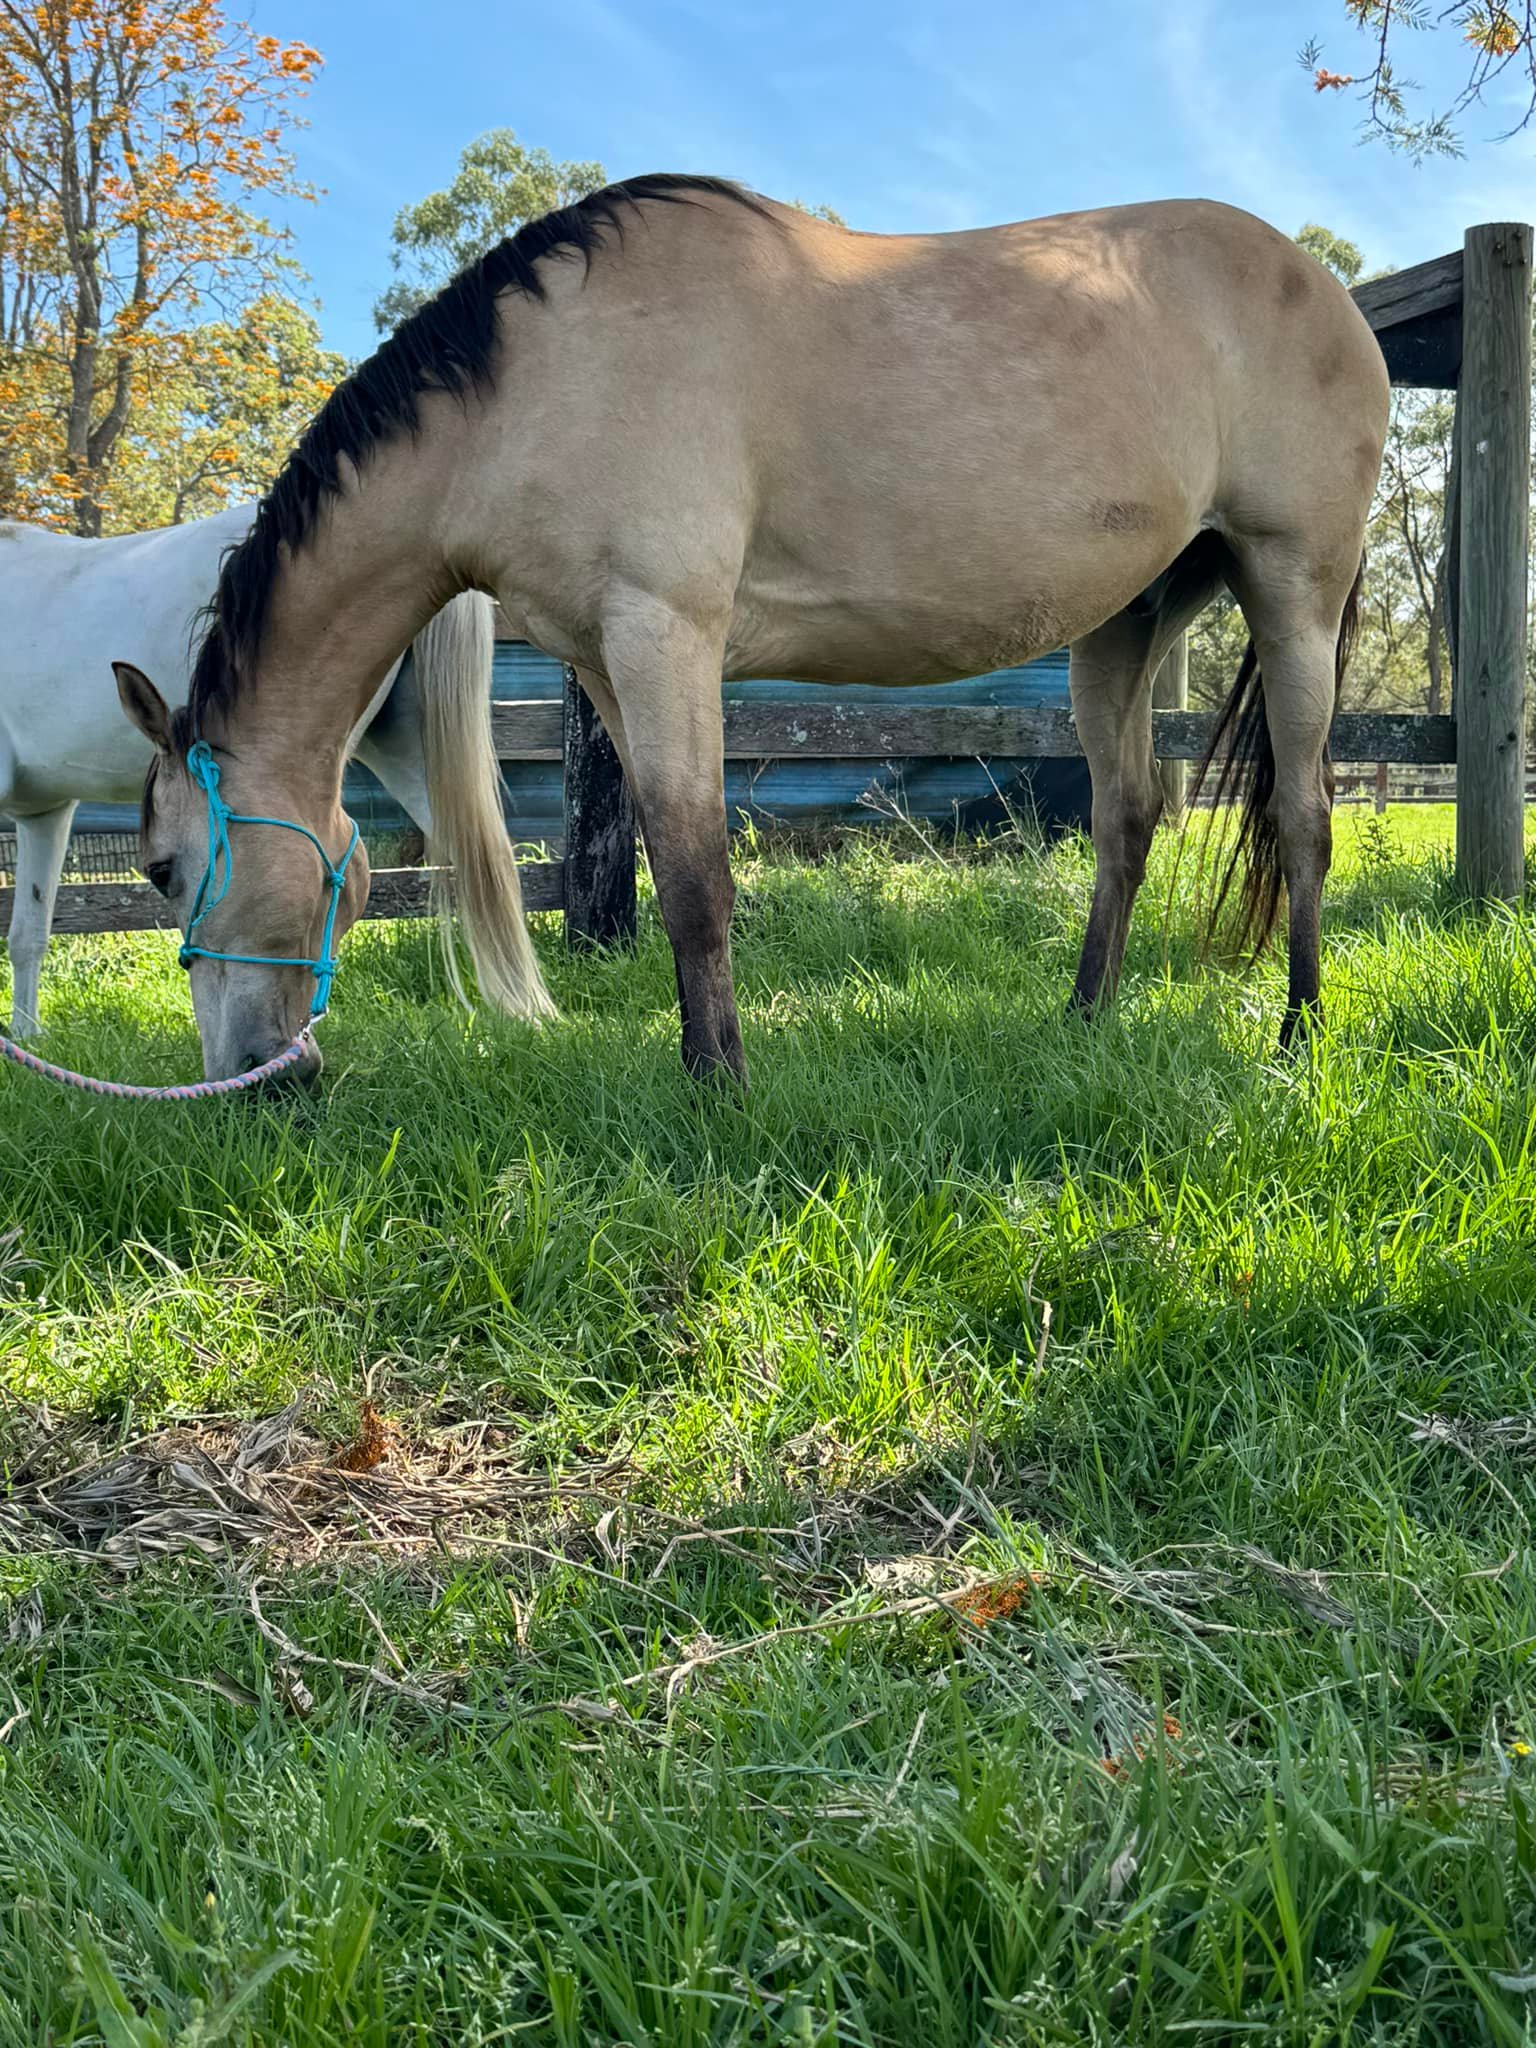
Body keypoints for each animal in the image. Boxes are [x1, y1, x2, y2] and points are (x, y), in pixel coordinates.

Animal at [1, 505, 549, 1038]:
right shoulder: (45, 814)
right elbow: (29, 931)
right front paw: (28, 1037)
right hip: (406, 749)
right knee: (485, 860)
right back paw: (527, 1012)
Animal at [119, 176, 1388, 1086]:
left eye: (162, 867)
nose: (254, 1077)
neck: (536, 384)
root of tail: (1323, 288)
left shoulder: (665, 633)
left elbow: (695, 875)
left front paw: (720, 1087)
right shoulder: (607, 666)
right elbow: (672, 860)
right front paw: (704, 1061)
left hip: (1293, 589)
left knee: (1305, 816)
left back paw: (1298, 1037)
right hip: (1124, 625)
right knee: (1128, 819)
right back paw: (1085, 1016)